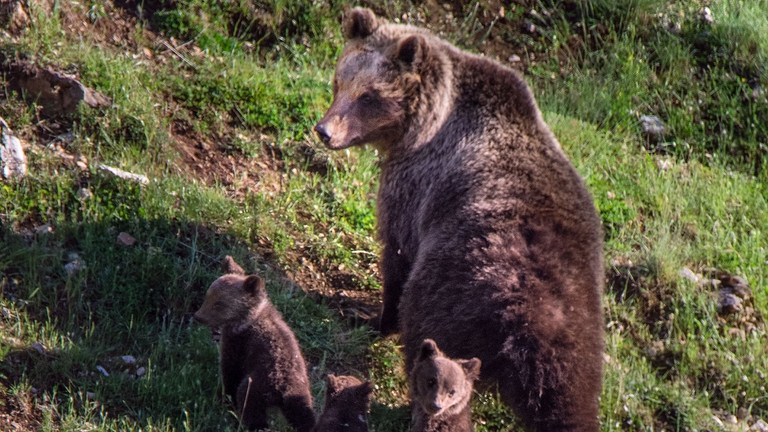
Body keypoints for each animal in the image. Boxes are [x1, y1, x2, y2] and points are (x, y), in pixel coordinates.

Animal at [193, 256, 316, 432]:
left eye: (219, 303)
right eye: (207, 296)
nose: (198, 316)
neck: (247, 317)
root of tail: (283, 389)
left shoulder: (237, 343)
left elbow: (230, 370)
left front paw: (223, 397)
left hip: (257, 385)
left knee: (251, 409)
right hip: (301, 396)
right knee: (305, 417)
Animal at [314, 8, 605, 432]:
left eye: (370, 96)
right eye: (340, 81)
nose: (324, 131)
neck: (424, 127)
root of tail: (528, 323)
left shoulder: (416, 186)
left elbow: (396, 251)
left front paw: (367, 314)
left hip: (456, 287)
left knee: (427, 333)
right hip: (579, 331)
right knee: (569, 399)